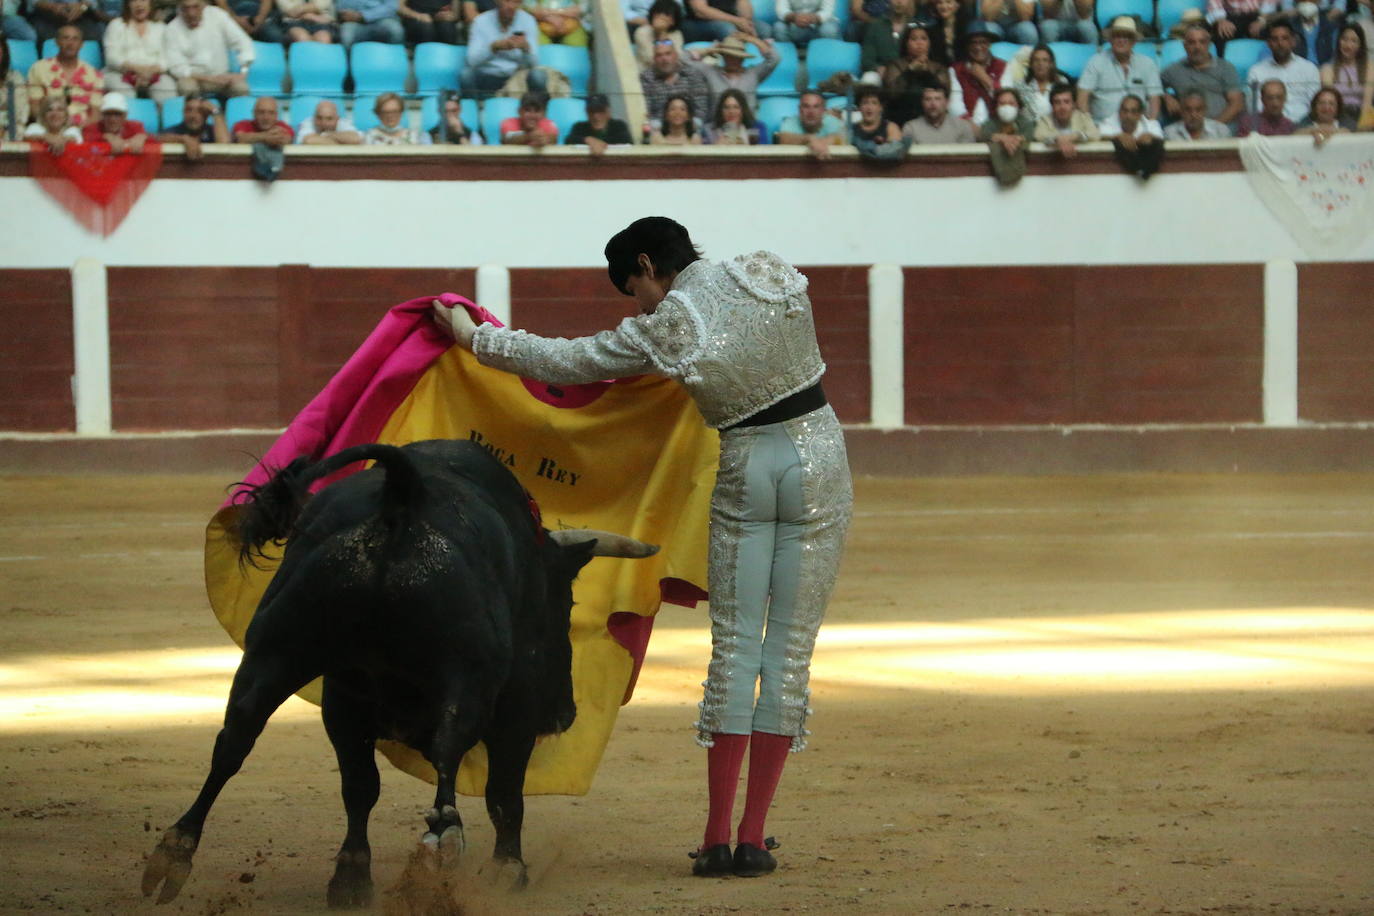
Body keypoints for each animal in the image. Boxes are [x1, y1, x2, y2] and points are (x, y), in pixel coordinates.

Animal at [142, 439, 656, 906]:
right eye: (566, 605)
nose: (564, 713)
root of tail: (404, 491)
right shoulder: (517, 708)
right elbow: (505, 791)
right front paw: (509, 871)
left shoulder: (343, 697)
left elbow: (360, 784)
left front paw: (351, 876)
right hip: (465, 673)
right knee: (450, 752)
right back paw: (440, 851)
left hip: (277, 652)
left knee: (239, 738)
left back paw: (178, 852)